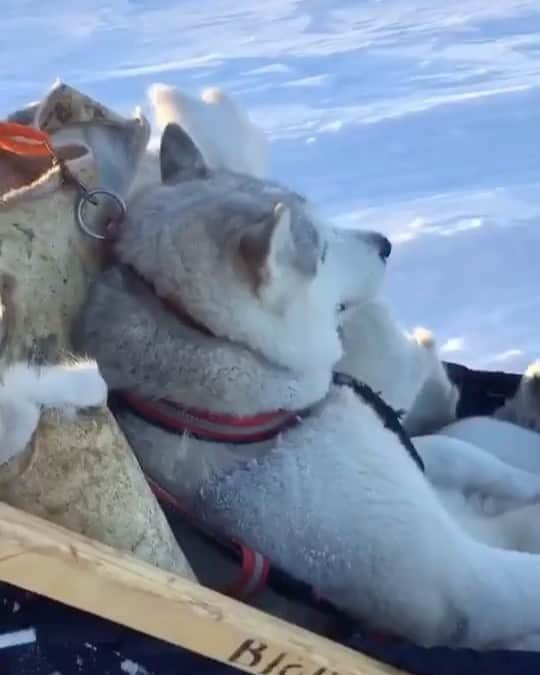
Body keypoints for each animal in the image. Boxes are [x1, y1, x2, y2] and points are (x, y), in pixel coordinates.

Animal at [77, 124, 540, 652]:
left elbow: (460, 456)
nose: (385, 243)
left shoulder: (399, 446)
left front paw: (527, 482)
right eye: (320, 249)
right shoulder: (459, 584)